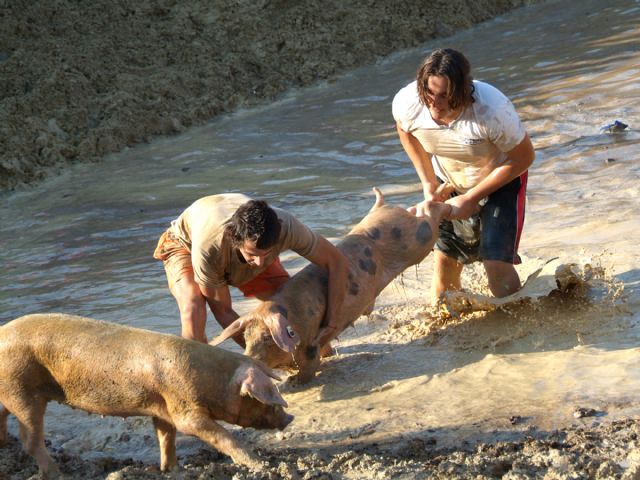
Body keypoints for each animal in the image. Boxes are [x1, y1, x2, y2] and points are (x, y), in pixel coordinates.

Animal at [0, 313, 293, 479]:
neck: (213, 380)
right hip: (20, 388)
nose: (289, 417)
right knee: (30, 438)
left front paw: (171, 470)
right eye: (265, 398)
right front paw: (258, 464)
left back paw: (6, 443)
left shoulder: (161, 408)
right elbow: (218, 435)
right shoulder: (185, 408)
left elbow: (166, 437)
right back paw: (56, 474)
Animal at [211, 188, 450, 384]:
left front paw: (293, 382)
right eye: (246, 338)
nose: (249, 359)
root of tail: (385, 206)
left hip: (419, 239)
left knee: (430, 215)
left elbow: (309, 366)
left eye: (267, 338)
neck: (292, 315)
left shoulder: (310, 343)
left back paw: (443, 201)